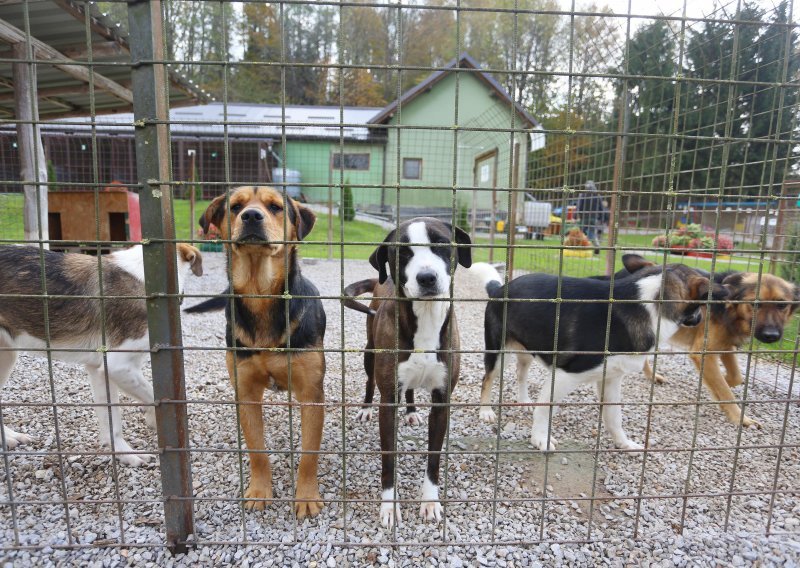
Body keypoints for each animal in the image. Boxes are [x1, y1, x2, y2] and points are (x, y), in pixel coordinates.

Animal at [0, 243, 203, 466]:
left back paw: (9, 437)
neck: (145, 277)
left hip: (7, 357)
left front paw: (124, 455)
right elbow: (152, 395)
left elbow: (111, 423)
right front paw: (152, 423)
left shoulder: (99, 371)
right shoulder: (118, 366)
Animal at [186, 186, 326, 520]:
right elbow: (257, 450)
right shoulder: (246, 391)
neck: (260, 292)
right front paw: (260, 491)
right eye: (235, 207)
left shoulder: (311, 394)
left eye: (275, 207)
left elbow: (308, 454)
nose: (251, 216)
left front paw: (306, 496)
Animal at [342, 216, 468, 528]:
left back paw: (410, 411)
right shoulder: (388, 401)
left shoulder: (442, 400)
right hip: (369, 354)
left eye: (441, 244)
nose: (427, 278)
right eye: (404, 253)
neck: (425, 316)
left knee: (409, 389)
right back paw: (365, 408)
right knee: (369, 381)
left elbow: (433, 458)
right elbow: (389, 459)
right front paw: (389, 507)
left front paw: (430, 502)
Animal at [468, 262, 720, 452]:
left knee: (521, 372)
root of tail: (499, 289)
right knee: (487, 379)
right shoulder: (565, 374)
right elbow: (545, 409)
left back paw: (524, 400)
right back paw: (486, 411)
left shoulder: (611, 379)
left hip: (527, 348)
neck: (646, 305)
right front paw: (540, 439)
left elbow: (614, 417)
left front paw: (624, 443)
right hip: (499, 352)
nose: (700, 320)